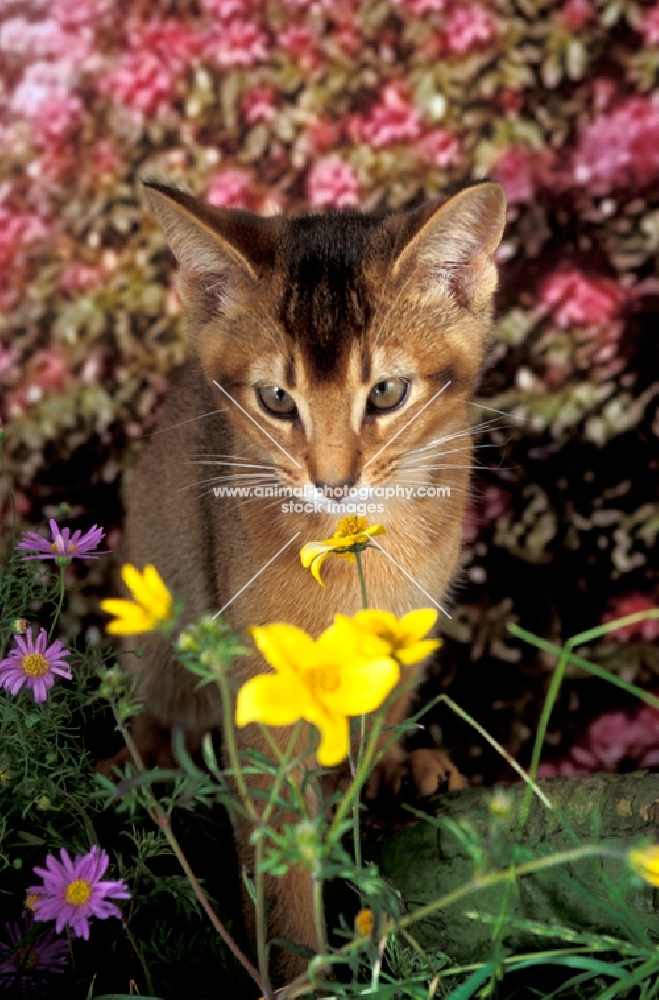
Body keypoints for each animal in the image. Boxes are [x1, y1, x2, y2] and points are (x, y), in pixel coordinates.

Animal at [121, 174, 508, 976]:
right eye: (276, 399)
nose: (333, 482)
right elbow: (283, 872)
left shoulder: (408, 633)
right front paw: (301, 974)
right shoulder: (260, 709)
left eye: (386, 392)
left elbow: (377, 716)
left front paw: (383, 771)